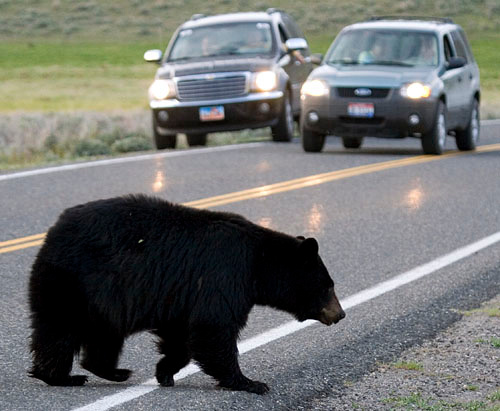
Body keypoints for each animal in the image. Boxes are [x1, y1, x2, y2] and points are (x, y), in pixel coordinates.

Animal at [28, 196, 344, 396]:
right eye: (328, 285)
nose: (340, 314)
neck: (259, 263)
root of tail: (52, 232)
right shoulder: (224, 274)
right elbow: (213, 327)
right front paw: (250, 383)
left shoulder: (182, 295)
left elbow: (180, 334)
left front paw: (164, 372)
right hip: (75, 280)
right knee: (59, 329)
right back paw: (62, 376)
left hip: (97, 296)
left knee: (101, 334)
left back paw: (112, 371)